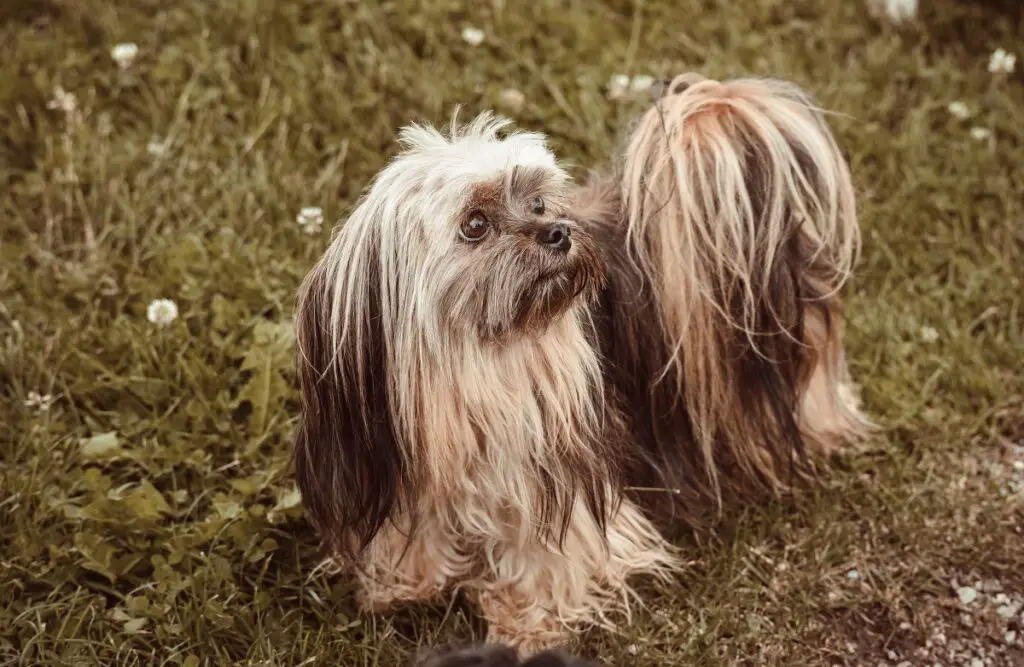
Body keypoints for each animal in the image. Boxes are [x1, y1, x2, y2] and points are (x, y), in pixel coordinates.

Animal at [294, 73, 872, 655]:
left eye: (538, 204)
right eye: (474, 224)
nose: (559, 233)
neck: (476, 366)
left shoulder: (558, 472)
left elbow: (548, 554)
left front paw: (526, 625)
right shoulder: (392, 464)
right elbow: (412, 535)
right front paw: (404, 585)